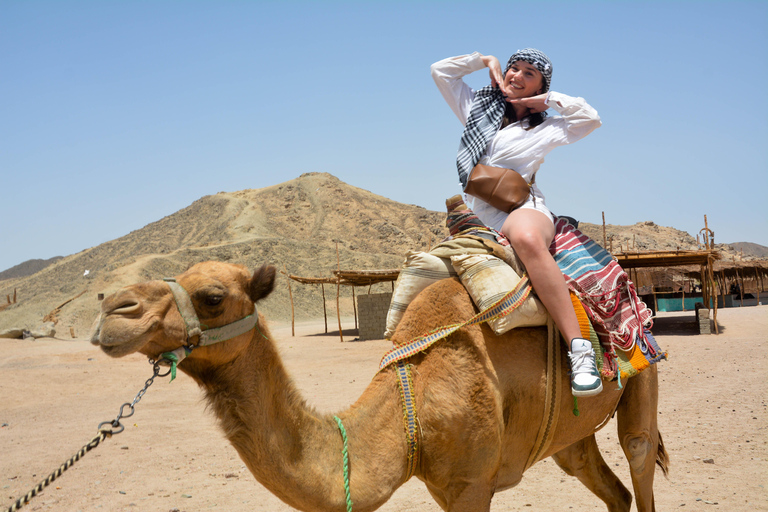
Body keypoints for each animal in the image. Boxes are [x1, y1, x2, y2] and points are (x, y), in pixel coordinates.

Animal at [90, 261, 668, 511]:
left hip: (645, 373)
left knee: (639, 456)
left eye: (211, 297)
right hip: (570, 433)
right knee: (605, 483)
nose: (113, 309)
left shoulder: (472, 481)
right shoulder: (444, 485)